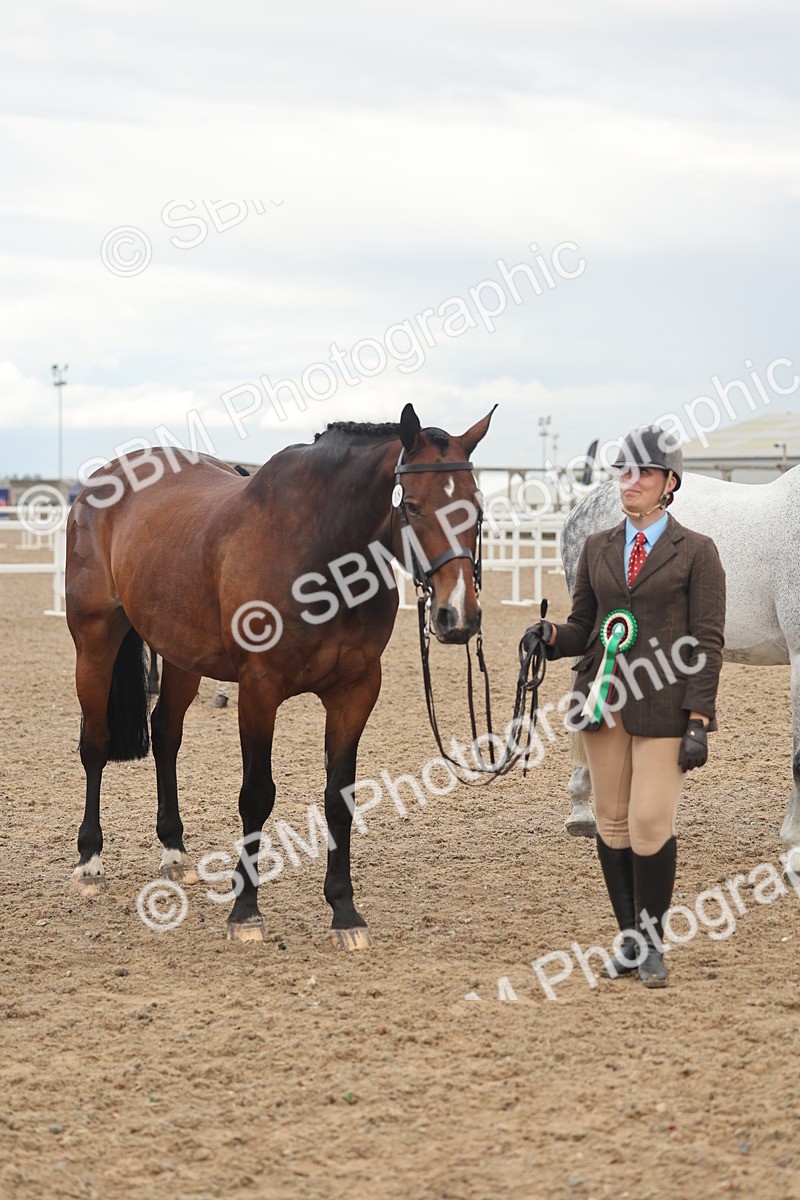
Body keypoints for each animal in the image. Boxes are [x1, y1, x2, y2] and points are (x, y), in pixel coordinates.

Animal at [65, 404, 493, 946]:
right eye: (412, 507)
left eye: (477, 508)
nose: (458, 617)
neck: (319, 555)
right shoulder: (259, 691)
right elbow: (256, 796)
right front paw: (245, 911)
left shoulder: (355, 692)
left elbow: (339, 798)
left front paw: (344, 912)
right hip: (94, 642)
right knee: (95, 743)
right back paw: (89, 862)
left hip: (181, 657)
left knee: (165, 735)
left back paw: (174, 852)